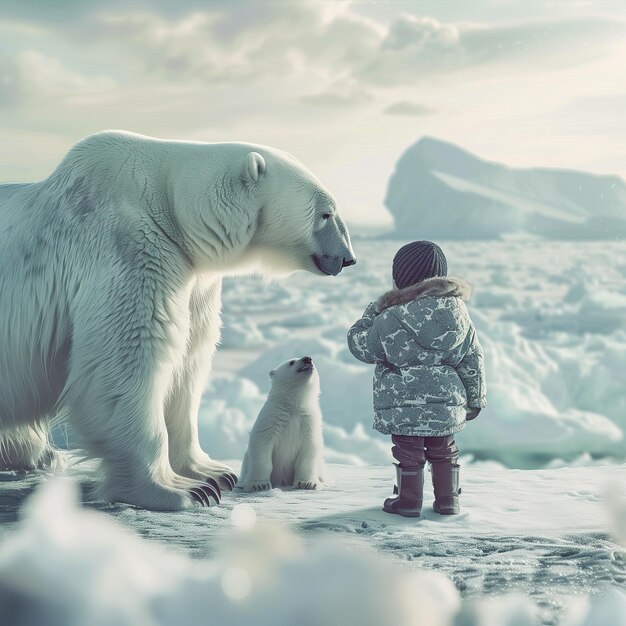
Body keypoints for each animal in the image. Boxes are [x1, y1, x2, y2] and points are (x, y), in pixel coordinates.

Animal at [235, 354, 322, 490]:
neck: (293, 406)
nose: (307, 359)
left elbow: (310, 447)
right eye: (291, 362)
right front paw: (259, 484)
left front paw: (307, 483)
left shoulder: (309, 421)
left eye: (313, 362)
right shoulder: (272, 418)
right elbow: (261, 444)